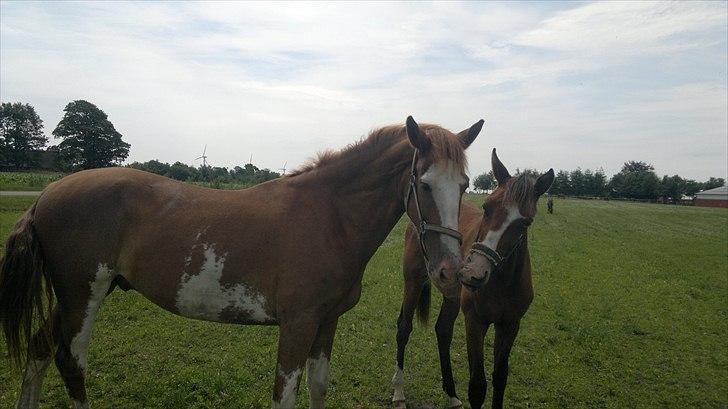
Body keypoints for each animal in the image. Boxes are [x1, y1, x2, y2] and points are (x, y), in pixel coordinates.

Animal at [2, 115, 486, 408]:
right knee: (70, 362)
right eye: (424, 183)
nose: (448, 272)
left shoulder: (326, 322)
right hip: (83, 298)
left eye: (465, 185)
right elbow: (285, 394)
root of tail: (46, 194)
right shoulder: (297, 325)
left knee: (40, 353)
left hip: (71, 300)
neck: (328, 216)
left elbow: (319, 387)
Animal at [392, 149, 552, 408]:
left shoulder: (510, 325)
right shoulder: (475, 322)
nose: (474, 273)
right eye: (486, 207)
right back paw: (398, 392)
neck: (501, 283)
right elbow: (477, 385)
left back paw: (451, 395)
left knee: (443, 331)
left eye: (524, 223)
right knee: (404, 328)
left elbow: (500, 377)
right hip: (413, 282)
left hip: (451, 296)